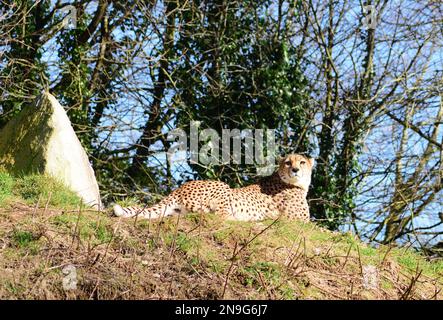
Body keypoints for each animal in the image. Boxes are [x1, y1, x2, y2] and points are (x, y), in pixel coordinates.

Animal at [114, 154, 316, 221]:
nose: (295, 170)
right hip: (223, 188)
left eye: (302, 162)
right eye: (288, 162)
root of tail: (180, 188)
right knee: (219, 215)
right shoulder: (299, 222)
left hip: (179, 211)